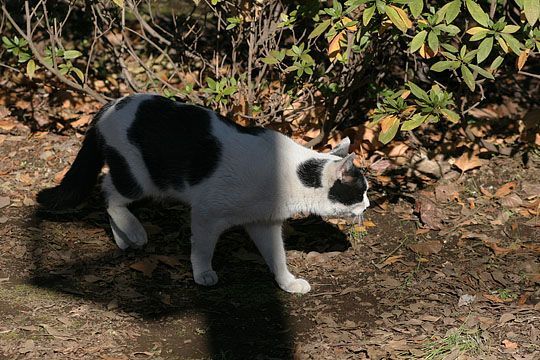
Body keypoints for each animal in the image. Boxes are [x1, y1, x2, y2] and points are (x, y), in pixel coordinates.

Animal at [37, 94, 368, 294]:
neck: (290, 175)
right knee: (109, 192)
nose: (367, 204)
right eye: (360, 191)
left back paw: (123, 238)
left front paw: (287, 282)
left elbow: (277, 256)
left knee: (109, 189)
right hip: (139, 177)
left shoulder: (263, 222)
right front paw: (203, 273)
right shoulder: (207, 213)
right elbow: (203, 248)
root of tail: (110, 104)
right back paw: (135, 230)